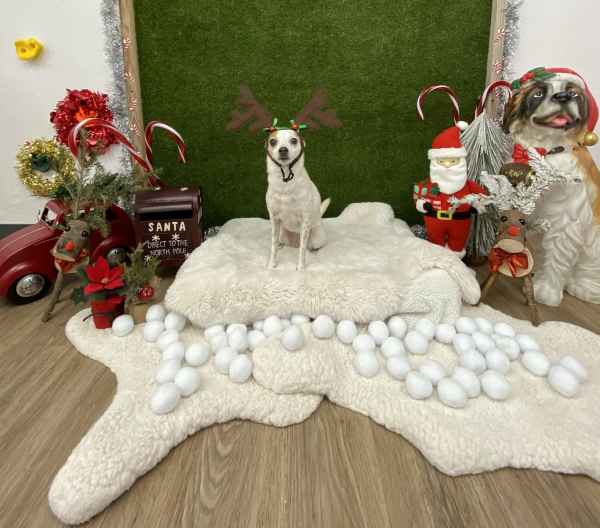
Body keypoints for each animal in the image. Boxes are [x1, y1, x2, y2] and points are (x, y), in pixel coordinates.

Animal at [264, 127, 330, 268]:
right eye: (273, 142)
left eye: (294, 140)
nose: (283, 149)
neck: (285, 184)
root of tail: (294, 243)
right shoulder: (274, 219)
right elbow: (272, 246)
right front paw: (271, 266)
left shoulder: (304, 222)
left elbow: (302, 252)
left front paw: (300, 268)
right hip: (282, 233)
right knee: (280, 241)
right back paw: (281, 245)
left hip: (318, 236)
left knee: (310, 247)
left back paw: (314, 251)